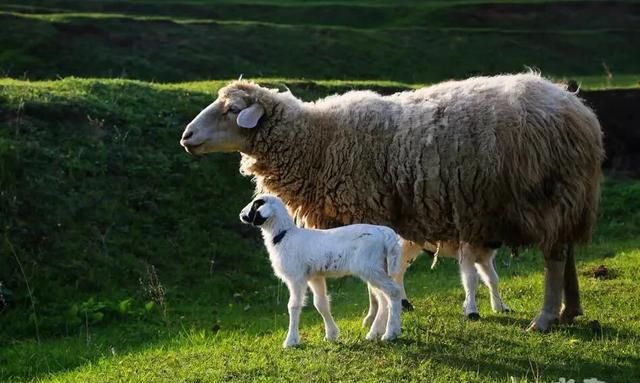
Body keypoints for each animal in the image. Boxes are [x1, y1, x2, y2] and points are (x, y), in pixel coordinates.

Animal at [181, 73, 604, 332]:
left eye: (231, 110)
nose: (186, 136)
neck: (318, 141)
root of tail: (578, 109)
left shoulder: (365, 209)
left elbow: (372, 282)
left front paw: (372, 319)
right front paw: (376, 317)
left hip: (547, 195)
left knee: (554, 259)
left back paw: (546, 318)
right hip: (568, 197)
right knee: (566, 252)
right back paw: (570, 311)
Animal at [242, 195, 402, 348]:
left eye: (256, 204)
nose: (241, 214)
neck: (284, 235)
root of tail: (384, 233)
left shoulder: (296, 278)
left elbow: (293, 306)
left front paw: (291, 341)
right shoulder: (315, 277)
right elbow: (321, 304)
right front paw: (331, 335)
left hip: (370, 267)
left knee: (394, 292)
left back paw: (390, 334)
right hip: (377, 268)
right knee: (384, 299)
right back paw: (374, 334)